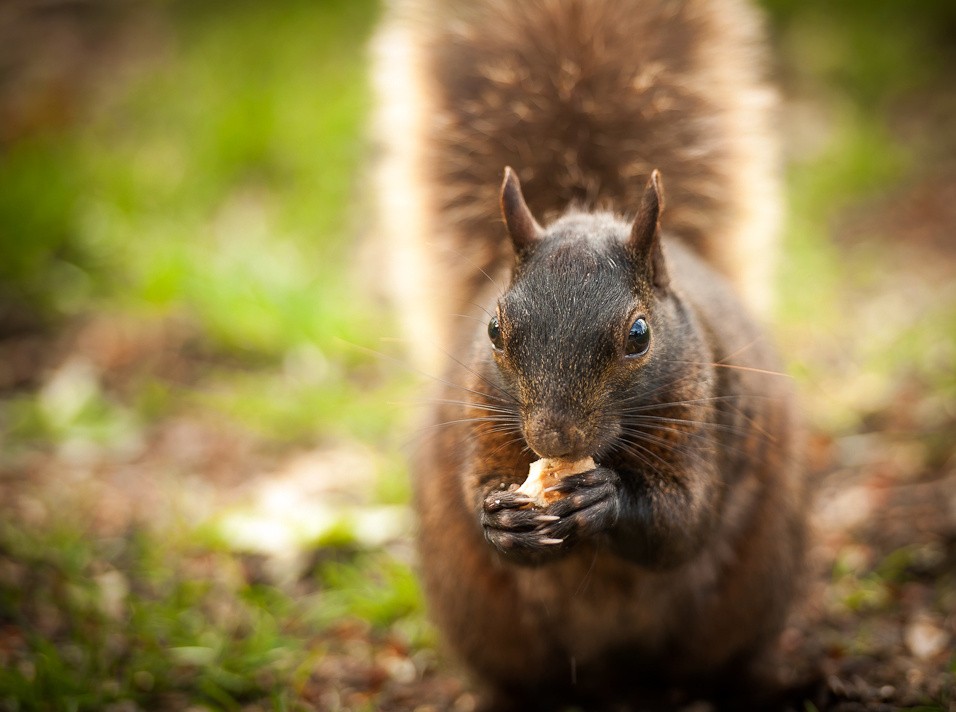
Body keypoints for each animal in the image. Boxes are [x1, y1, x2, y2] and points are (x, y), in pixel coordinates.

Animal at [372, 0, 808, 708]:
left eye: (639, 335)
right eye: (493, 330)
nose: (553, 437)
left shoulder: (705, 412)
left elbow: (684, 522)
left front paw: (605, 498)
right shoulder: (480, 416)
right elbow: (481, 490)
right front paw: (501, 518)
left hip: (750, 596)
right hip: (487, 624)